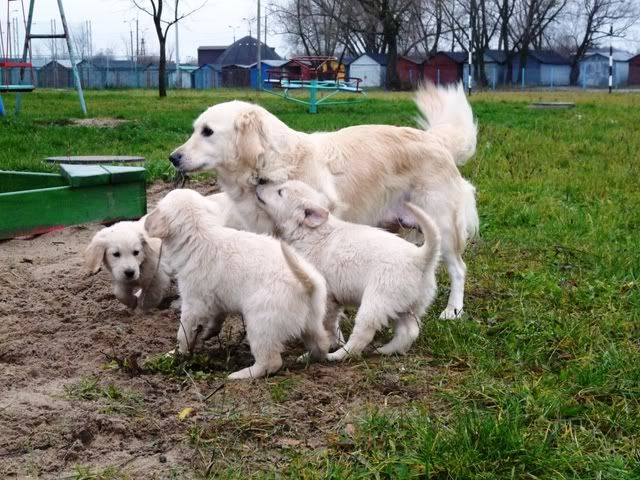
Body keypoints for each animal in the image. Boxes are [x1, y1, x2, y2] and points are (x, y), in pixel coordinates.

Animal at [144, 189, 330, 379]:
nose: (144, 222)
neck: (200, 233)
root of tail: (308, 284)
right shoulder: (217, 300)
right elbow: (216, 320)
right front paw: (207, 333)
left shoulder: (193, 303)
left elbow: (183, 333)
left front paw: (174, 354)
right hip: (312, 321)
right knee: (322, 344)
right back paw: (308, 357)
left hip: (260, 323)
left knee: (271, 361)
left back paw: (240, 374)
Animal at [168, 82, 478, 320]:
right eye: (195, 129)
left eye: (207, 131)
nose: (173, 157)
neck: (270, 166)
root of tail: (435, 140)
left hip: (441, 225)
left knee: (459, 269)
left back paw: (453, 310)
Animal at [256, 180, 441, 360]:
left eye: (280, 192)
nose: (259, 183)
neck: (312, 232)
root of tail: (420, 257)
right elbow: (332, 324)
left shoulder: (325, 295)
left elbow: (326, 325)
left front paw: (321, 349)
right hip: (409, 305)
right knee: (409, 331)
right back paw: (386, 350)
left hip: (377, 300)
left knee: (363, 334)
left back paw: (339, 355)